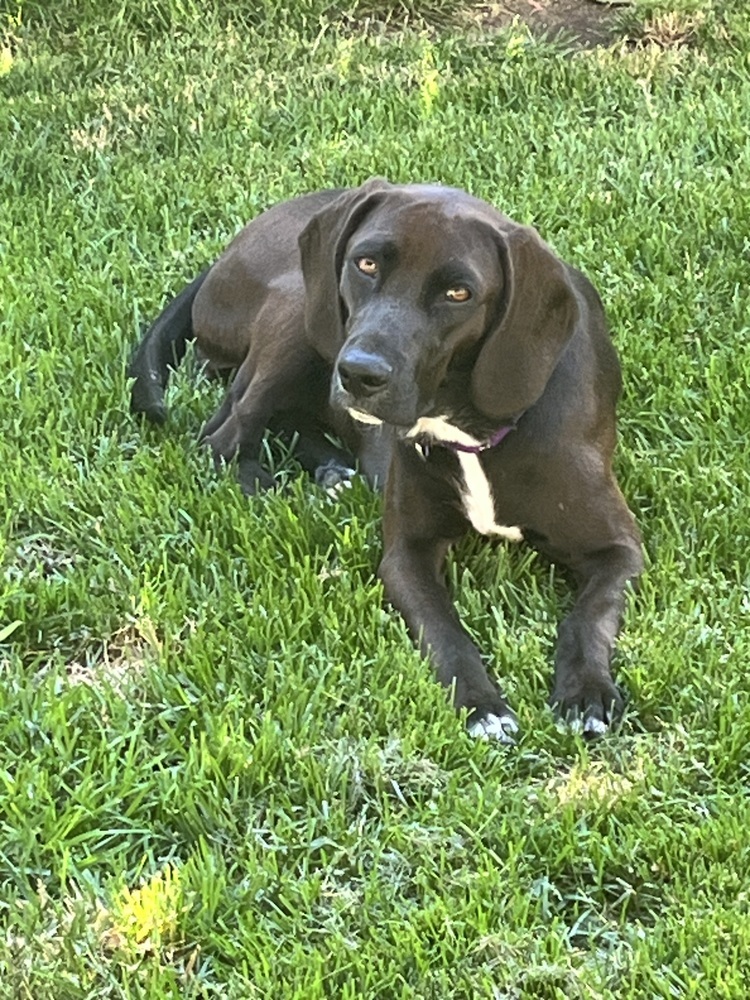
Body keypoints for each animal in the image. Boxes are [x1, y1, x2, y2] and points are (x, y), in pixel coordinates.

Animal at [131, 180, 648, 744]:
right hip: (303, 312)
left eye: (459, 293)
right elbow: (444, 630)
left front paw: (586, 692)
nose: (360, 374)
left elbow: (589, 616)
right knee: (224, 432)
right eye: (366, 264)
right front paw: (482, 705)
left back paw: (333, 469)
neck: (471, 427)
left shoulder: (619, 549)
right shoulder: (406, 554)